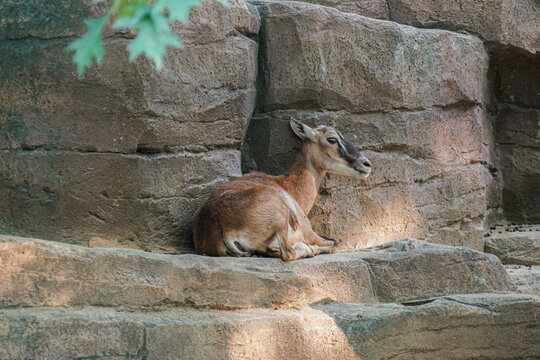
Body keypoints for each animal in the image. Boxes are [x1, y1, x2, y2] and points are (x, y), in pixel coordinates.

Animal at [193, 119, 372, 260]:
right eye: (332, 139)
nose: (366, 164)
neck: (287, 186)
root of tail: (221, 227)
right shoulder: (310, 234)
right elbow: (334, 242)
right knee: (287, 253)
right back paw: (308, 249)